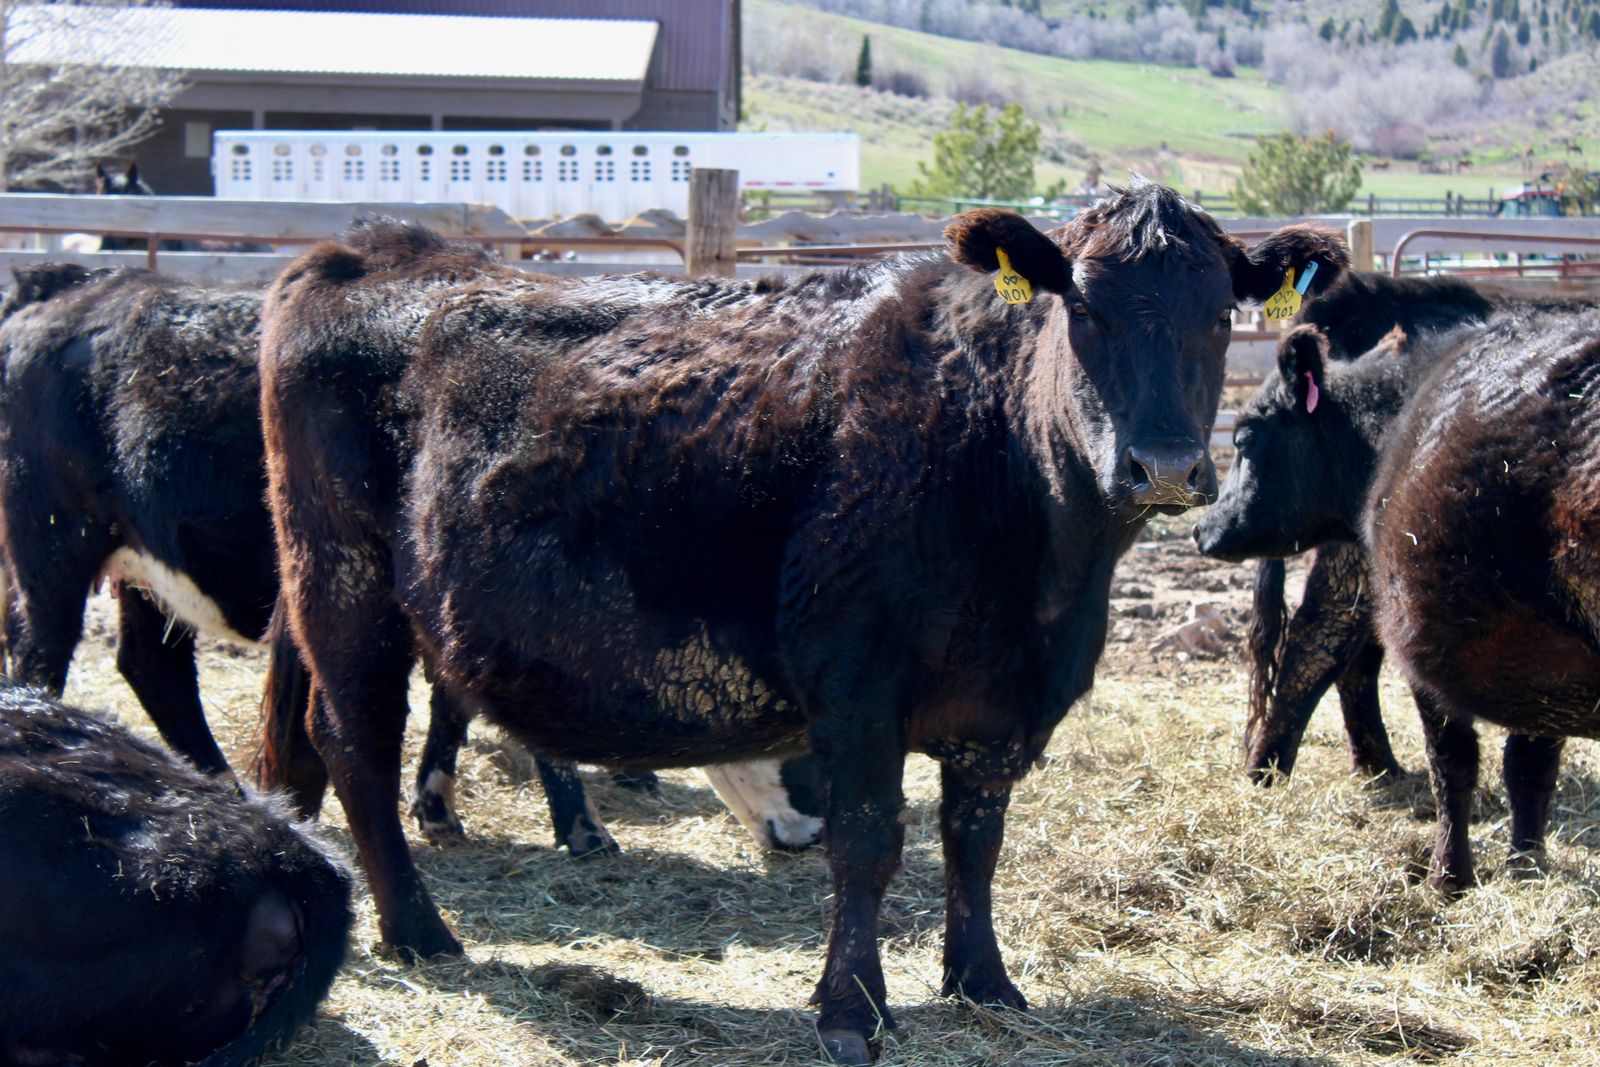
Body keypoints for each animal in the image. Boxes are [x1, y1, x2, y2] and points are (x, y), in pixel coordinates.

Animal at [0, 262, 819, 857]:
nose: (807, 833)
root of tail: (61, 291)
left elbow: (452, 700)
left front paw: (436, 804)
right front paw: (581, 828)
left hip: (142, 568)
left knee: (154, 668)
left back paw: (225, 789)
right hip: (51, 552)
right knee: (41, 656)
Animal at [258, 184, 1345, 1062]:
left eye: (1219, 313)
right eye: (1082, 305)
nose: (1163, 463)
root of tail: (368, 247)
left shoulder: (1003, 703)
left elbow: (976, 837)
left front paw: (984, 982)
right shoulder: (856, 679)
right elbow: (868, 841)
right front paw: (851, 1009)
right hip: (343, 583)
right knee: (354, 742)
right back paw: (418, 928)